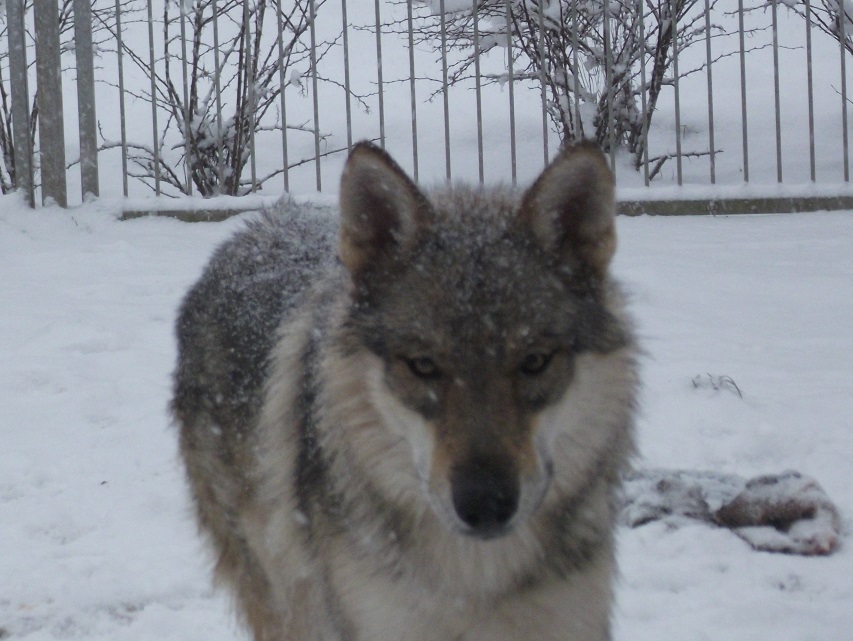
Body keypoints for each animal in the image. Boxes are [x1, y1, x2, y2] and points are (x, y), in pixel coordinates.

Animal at [173, 141, 640, 640]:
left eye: (534, 361)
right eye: (423, 365)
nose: (485, 504)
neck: (477, 580)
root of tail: (257, 223)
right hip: (289, 599)